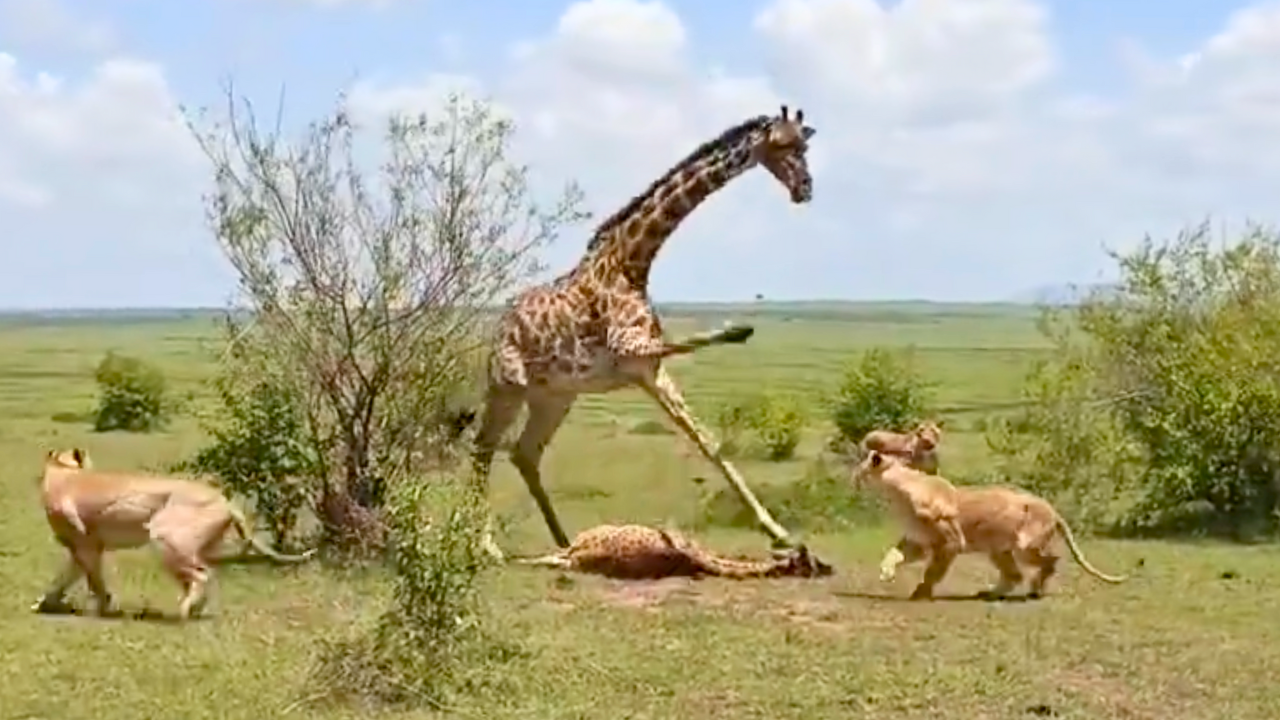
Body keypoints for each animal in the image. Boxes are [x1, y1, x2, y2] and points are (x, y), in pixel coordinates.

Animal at [33, 448, 317, 621]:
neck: (62, 473)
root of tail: (225, 500)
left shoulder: (86, 545)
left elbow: (93, 581)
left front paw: (103, 607)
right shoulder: (83, 547)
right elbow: (64, 578)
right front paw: (45, 603)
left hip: (166, 539)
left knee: (203, 575)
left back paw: (183, 611)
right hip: (189, 548)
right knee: (198, 577)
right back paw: (195, 608)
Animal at [468, 105, 817, 559]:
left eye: (805, 144)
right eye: (783, 145)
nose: (805, 188)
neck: (632, 261)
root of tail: (499, 328)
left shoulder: (648, 370)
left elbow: (708, 442)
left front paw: (779, 532)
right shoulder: (630, 351)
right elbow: (688, 348)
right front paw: (739, 328)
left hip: (555, 396)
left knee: (524, 453)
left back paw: (564, 542)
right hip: (509, 386)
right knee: (483, 447)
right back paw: (487, 546)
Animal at [853, 450, 1127, 600]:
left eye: (861, 468)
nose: (852, 478)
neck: (896, 492)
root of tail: (1052, 508)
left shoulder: (950, 542)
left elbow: (933, 571)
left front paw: (921, 593)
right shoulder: (917, 542)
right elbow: (893, 554)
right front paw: (886, 573)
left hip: (1025, 546)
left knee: (1051, 560)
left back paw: (1035, 590)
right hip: (998, 549)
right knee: (1015, 574)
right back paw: (992, 593)